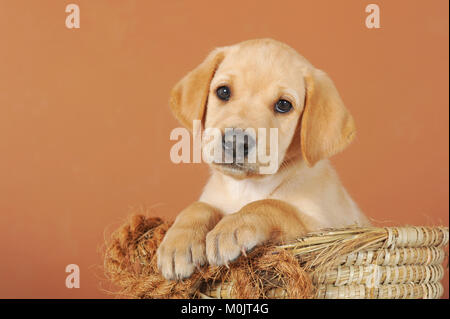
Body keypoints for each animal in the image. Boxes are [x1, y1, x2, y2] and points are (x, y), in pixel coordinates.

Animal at [156, 38, 370, 282]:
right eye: (223, 91)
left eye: (284, 105)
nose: (235, 141)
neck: (247, 186)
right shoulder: (212, 199)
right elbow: (198, 206)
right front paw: (178, 243)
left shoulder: (322, 227)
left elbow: (272, 205)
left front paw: (230, 227)